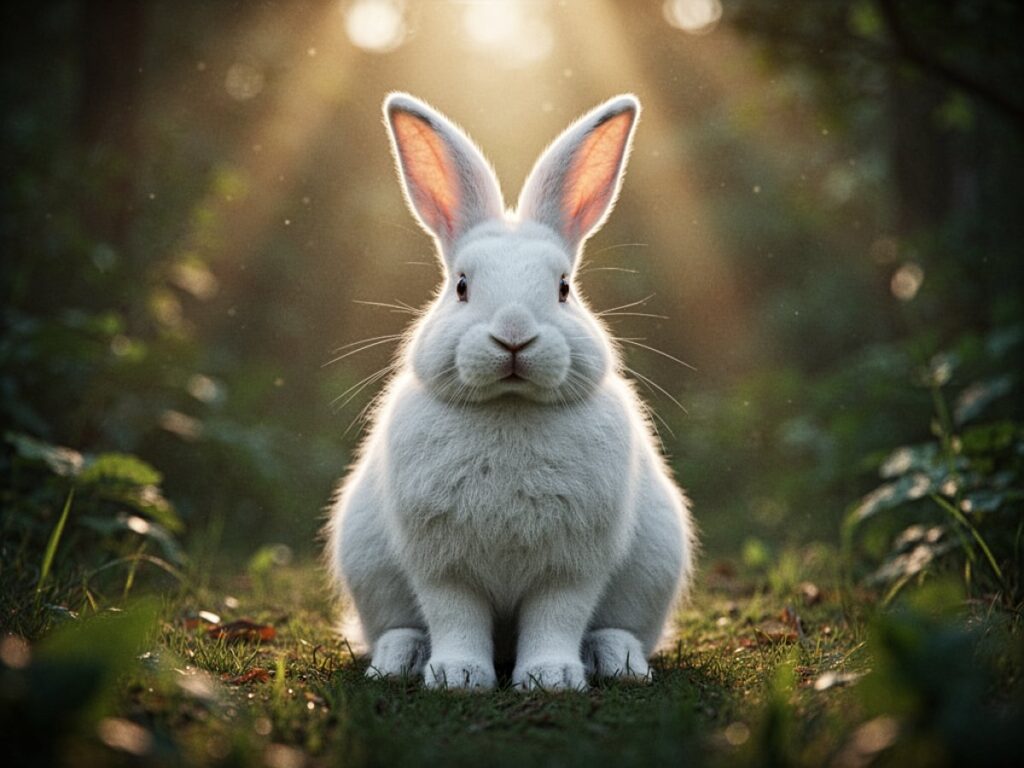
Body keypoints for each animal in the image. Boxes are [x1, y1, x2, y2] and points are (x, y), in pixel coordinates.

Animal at [325, 92, 695, 691]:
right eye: (461, 286)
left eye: (564, 288)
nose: (514, 335)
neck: (509, 407)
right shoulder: (442, 565)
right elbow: (455, 616)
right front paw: (457, 676)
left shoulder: (570, 566)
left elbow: (556, 618)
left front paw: (552, 678)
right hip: (370, 570)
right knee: (397, 626)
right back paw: (399, 660)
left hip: (651, 573)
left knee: (618, 627)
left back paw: (617, 661)